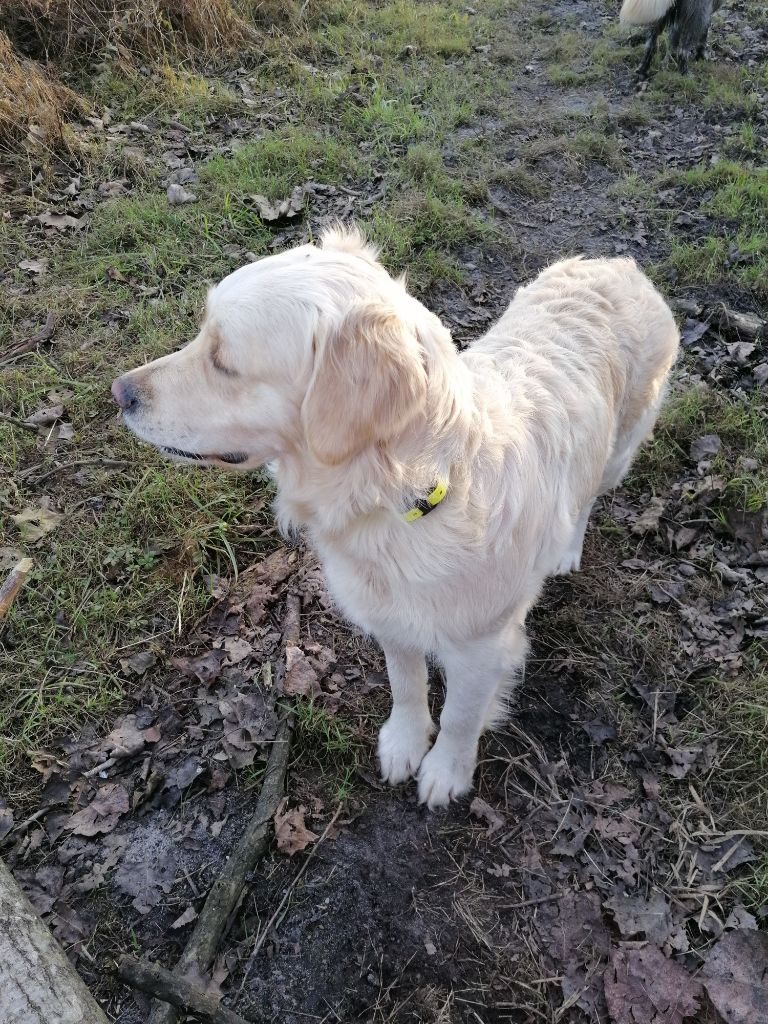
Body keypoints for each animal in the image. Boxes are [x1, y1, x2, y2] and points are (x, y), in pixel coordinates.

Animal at [114, 226, 679, 806]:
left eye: (224, 360)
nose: (120, 392)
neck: (403, 495)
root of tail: (617, 263)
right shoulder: (391, 618)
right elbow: (406, 685)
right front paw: (405, 742)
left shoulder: (483, 647)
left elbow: (460, 716)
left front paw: (446, 771)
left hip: (620, 448)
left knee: (589, 495)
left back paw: (567, 548)